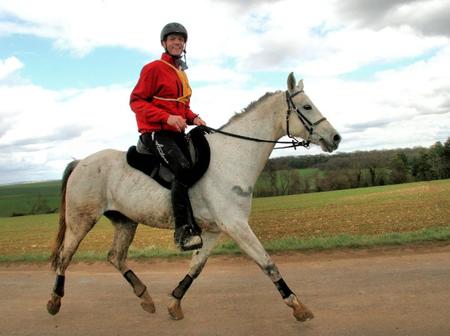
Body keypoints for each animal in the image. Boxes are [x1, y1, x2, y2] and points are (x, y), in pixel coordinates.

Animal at [46, 73, 342, 320]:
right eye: (307, 107)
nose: (336, 138)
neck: (232, 156)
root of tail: (80, 162)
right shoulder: (236, 225)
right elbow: (267, 263)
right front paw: (298, 306)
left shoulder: (213, 230)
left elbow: (196, 267)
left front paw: (174, 303)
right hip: (81, 221)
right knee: (65, 256)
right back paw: (54, 301)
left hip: (125, 221)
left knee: (115, 257)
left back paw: (145, 297)